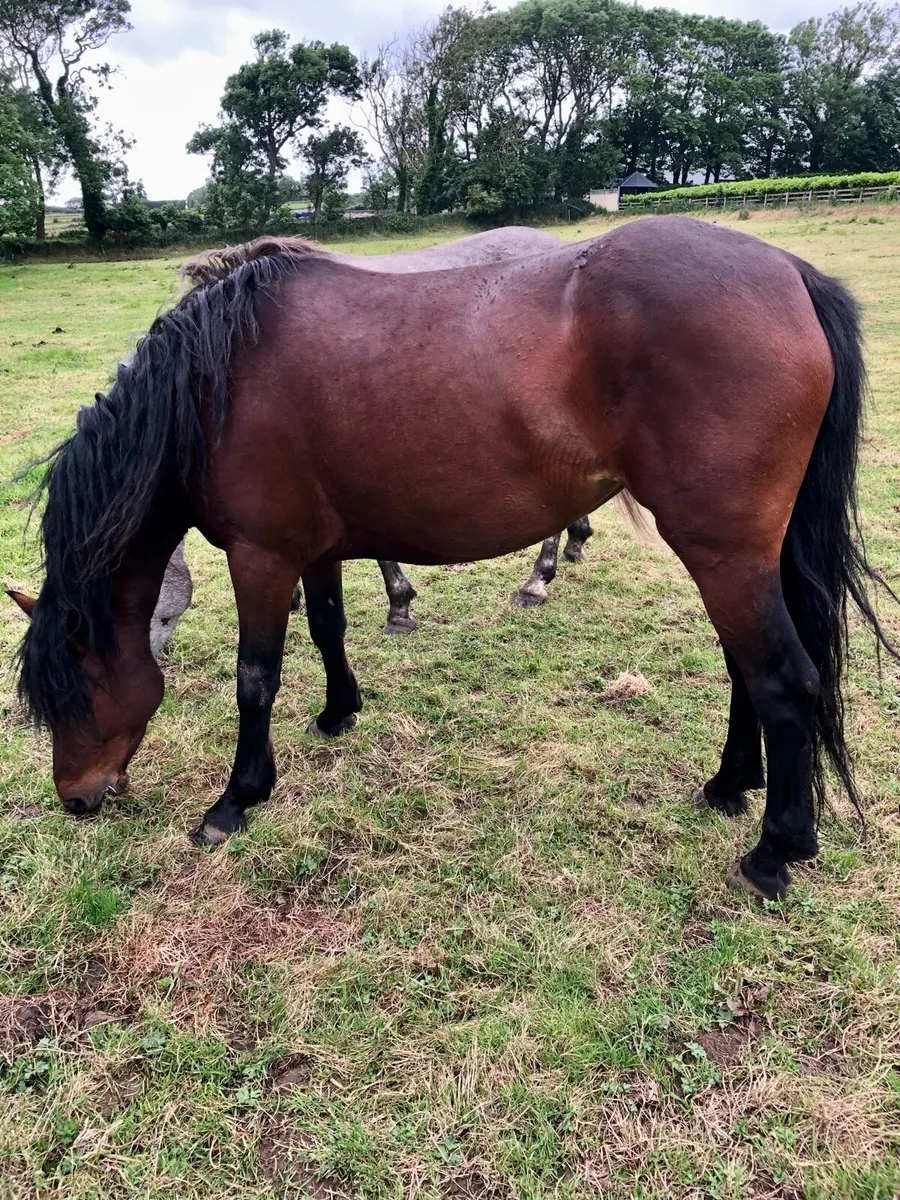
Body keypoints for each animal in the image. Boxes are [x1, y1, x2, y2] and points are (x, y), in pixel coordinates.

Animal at [10, 218, 897, 902]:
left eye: (74, 691)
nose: (77, 800)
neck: (211, 385)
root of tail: (790, 274)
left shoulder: (261, 557)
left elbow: (254, 677)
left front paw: (235, 801)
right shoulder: (313, 547)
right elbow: (328, 626)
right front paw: (339, 711)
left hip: (724, 553)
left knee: (783, 679)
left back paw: (775, 851)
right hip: (739, 558)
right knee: (748, 668)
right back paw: (728, 786)